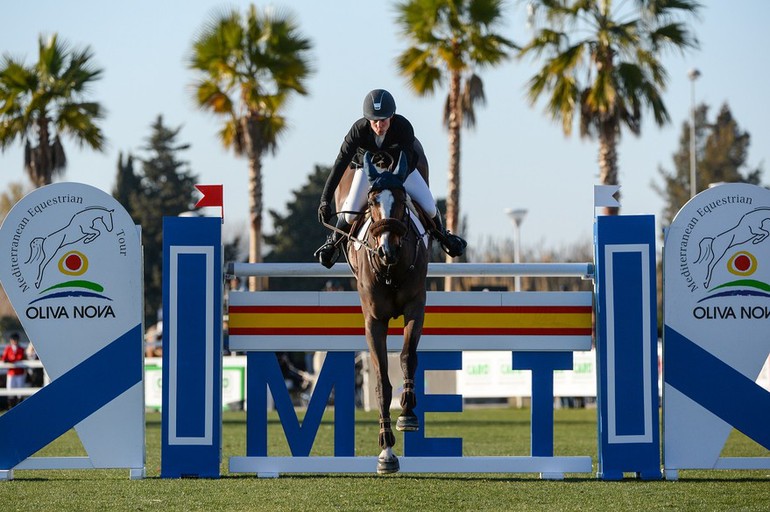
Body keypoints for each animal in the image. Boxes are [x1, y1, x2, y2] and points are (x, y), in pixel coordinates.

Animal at [342, 151, 432, 472]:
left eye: (403, 201)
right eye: (371, 203)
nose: (387, 249)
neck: (390, 269)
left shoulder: (416, 307)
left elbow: (407, 356)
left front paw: (407, 414)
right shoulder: (374, 321)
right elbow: (381, 380)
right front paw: (386, 449)